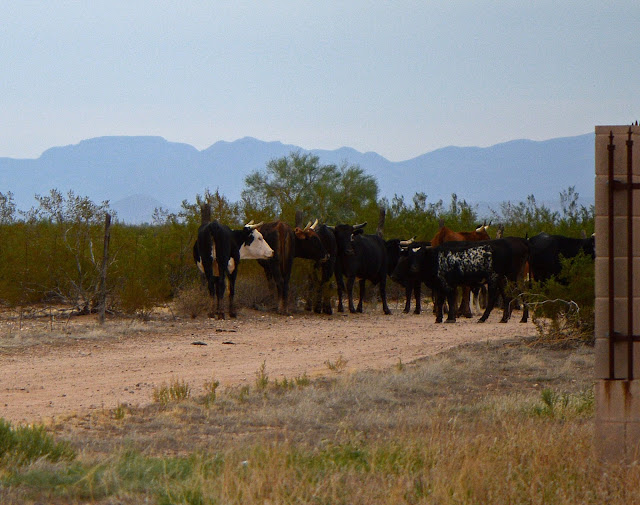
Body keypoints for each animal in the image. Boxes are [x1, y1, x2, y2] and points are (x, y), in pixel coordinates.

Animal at [396, 237, 528, 322]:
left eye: (422, 254)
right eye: (410, 254)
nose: (414, 268)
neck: (436, 258)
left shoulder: (446, 284)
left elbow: (449, 299)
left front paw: (450, 318)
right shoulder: (440, 285)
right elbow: (441, 301)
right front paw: (439, 318)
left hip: (503, 277)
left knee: (500, 297)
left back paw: (484, 318)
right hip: (503, 279)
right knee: (508, 296)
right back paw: (507, 318)